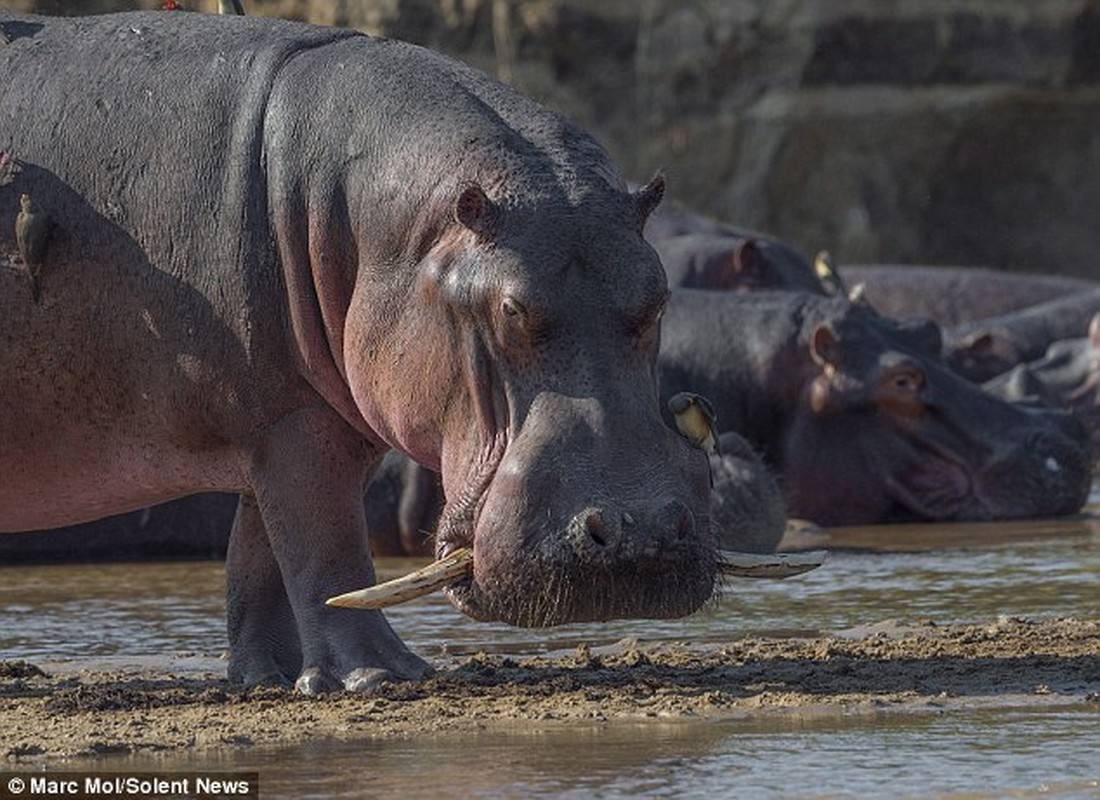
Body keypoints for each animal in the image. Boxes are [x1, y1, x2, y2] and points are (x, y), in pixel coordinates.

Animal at [0, 9, 717, 691]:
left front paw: (274, 677)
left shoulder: (300, 418)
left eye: (658, 295)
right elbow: (326, 546)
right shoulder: (292, 420)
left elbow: (267, 553)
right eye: (509, 309)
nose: (636, 533)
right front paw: (382, 675)